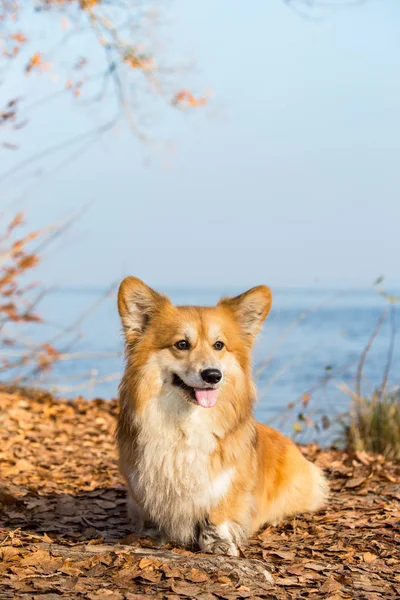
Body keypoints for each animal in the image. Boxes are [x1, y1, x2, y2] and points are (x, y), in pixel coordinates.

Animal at [116, 278, 328, 556]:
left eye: (219, 345)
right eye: (182, 344)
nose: (213, 375)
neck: (186, 421)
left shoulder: (226, 482)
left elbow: (217, 513)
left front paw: (217, 542)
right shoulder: (141, 481)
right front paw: (152, 535)